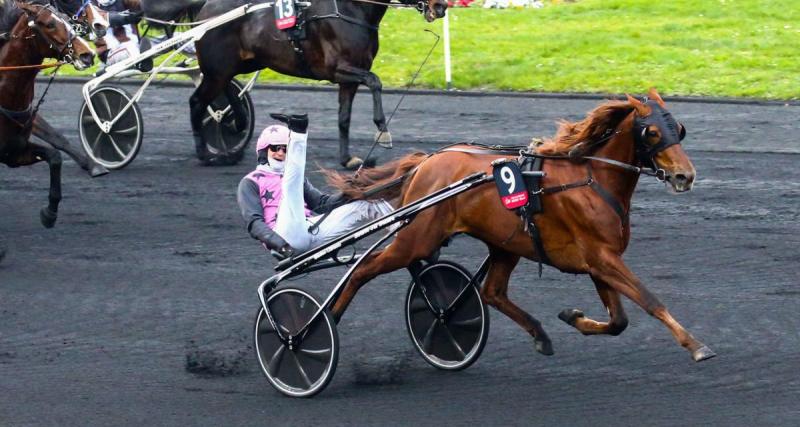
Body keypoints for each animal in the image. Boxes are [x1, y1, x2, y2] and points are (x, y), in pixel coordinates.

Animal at [0, 0, 94, 239]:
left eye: (67, 20)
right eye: (50, 24)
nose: (87, 55)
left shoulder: (13, 152)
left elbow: (55, 157)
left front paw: (50, 213)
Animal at [190, 0, 446, 169]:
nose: (441, 6)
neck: (351, 11)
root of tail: (205, 10)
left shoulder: (349, 78)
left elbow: (344, 118)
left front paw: (347, 159)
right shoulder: (339, 69)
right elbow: (375, 81)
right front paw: (383, 132)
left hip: (238, 65)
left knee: (225, 90)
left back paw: (237, 123)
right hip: (218, 70)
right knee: (197, 102)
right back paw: (206, 153)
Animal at [324, 88, 720, 362]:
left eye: (679, 129)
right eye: (651, 132)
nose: (685, 176)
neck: (591, 178)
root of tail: (427, 162)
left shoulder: (599, 261)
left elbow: (618, 321)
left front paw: (573, 316)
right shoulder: (602, 257)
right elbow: (650, 300)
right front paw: (696, 345)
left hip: (506, 242)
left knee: (492, 292)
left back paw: (534, 332)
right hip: (416, 237)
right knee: (364, 270)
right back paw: (327, 319)